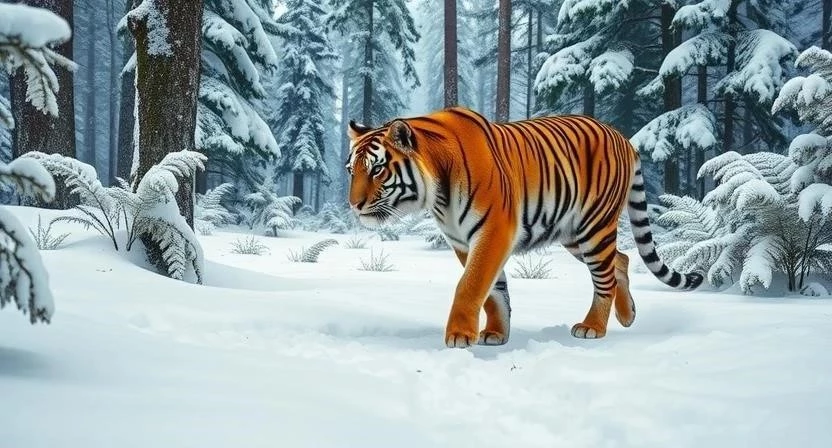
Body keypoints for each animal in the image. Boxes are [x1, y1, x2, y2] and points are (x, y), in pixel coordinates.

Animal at [345, 106, 703, 348]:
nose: (354, 204)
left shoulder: (494, 231)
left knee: (605, 277)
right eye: (352, 170)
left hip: (594, 227)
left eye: (377, 169)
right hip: (573, 234)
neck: (438, 193)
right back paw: (627, 316)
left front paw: (459, 336)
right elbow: (494, 291)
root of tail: (623, 137)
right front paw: (495, 334)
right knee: (622, 260)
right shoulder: (462, 241)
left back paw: (593, 327)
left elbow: (471, 285)